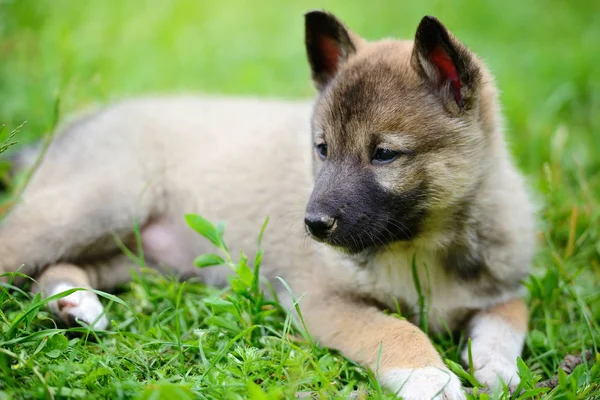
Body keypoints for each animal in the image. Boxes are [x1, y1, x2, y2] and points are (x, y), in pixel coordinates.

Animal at [0, 10, 536, 398]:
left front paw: (495, 365)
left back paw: (74, 304)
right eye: (322, 149)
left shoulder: (503, 287)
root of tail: (74, 125)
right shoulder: (319, 300)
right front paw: (432, 378)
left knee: (54, 269)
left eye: (384, 154)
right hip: (95, 208)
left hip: (137, 255)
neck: (420, 245)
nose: (313, 225)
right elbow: (395, 330)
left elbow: (511, 317)